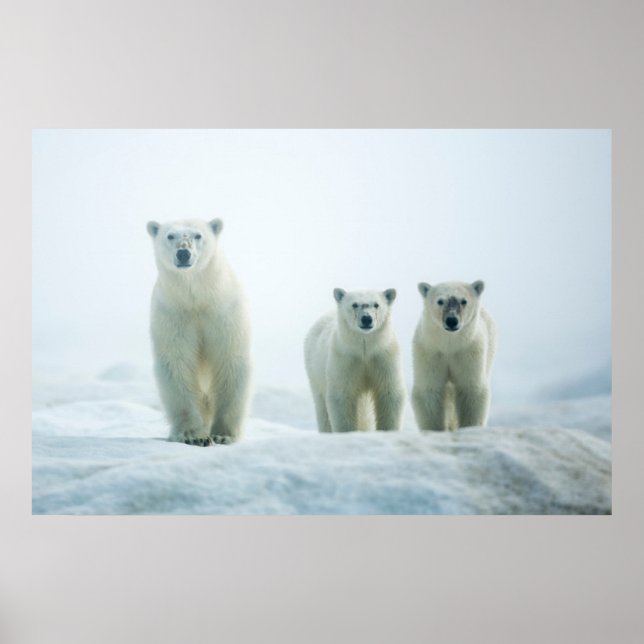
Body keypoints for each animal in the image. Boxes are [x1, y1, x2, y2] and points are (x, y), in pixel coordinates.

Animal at [146, 218, 251, 446]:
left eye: (198, 235)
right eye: (170, 235)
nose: (183, 253)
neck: (197, 298)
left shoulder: (223, 312)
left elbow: (229, 359)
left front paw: (222, 434)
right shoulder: (174, 314)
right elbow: (177, 364)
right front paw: (194, 436)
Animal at [304, 288, 405, 433]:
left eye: (376, 304)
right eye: (354, 304)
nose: (366, 319)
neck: (364, 349)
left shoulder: (383, 356)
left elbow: (389, 393)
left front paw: (388, 430)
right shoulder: (345, 359)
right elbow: (342, 396)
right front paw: (347, 432)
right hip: (315, 371)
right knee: (321, 405)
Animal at [412, 280, 496, 431]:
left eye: (464, 301)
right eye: (440, 301)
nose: (451, 320)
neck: (449, 345)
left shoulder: (468, 351)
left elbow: (470, 390)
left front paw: (469, 427)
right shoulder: (430, 351)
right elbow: (429, 389)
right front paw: (435, 429)